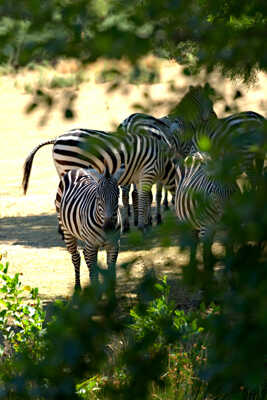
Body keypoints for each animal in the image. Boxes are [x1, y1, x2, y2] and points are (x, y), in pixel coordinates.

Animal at [23, 125, 176, 231]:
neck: (163, 162)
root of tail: (57, 139)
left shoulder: (140, 177)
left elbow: (144, 198)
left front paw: (145, 223)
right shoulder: (147, 172)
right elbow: (145, 198)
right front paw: (146, 225)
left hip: (63, 171)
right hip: (71, 168)